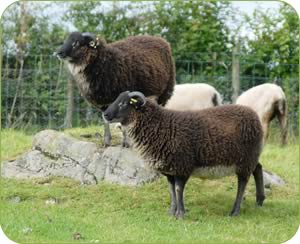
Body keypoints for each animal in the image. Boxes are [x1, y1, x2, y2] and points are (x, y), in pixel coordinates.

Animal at [103, 90, 264, 218]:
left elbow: (178, 189)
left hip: (245, 159)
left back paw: (235, 211)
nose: (105, 114)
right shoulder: (169, 169)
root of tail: (254, 115)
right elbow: (171, 191)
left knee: (242, 182)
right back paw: (260, 200)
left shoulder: (182, 166)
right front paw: (171, 212)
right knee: (258, 169)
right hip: (250, 157)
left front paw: (180, 214)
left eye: (123, 103)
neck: (160, 125)